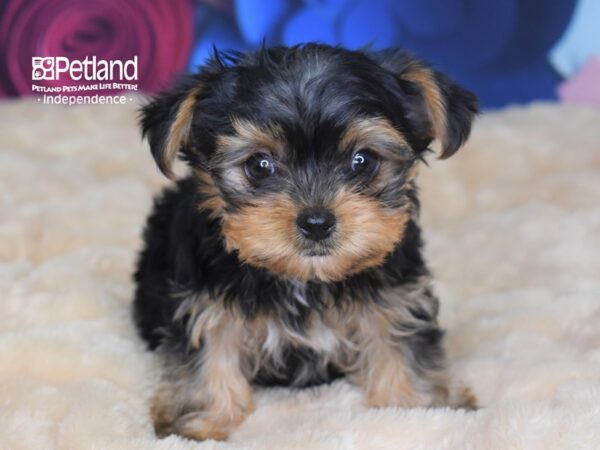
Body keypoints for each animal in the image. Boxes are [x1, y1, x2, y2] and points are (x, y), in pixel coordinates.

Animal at [132, 43, 478, 440]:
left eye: (363, 160)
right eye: (260, 165)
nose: (316, 222)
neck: (306, 280)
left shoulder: (397, 295)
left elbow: (399, 342)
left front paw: (415, 404)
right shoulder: (204, 302)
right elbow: (208, 353)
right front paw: (200, 423)